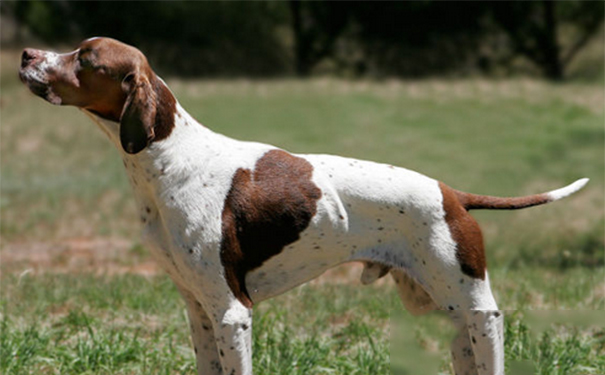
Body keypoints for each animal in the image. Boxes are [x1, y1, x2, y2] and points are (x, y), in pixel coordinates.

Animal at [21, 36, 588, 375]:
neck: (172, 158)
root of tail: (452, 193)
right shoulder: (198, 308)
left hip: (471, 301)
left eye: (85, 58)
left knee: (492, 332)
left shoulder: (232, 311)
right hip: (439, 305)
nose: (25, 54)